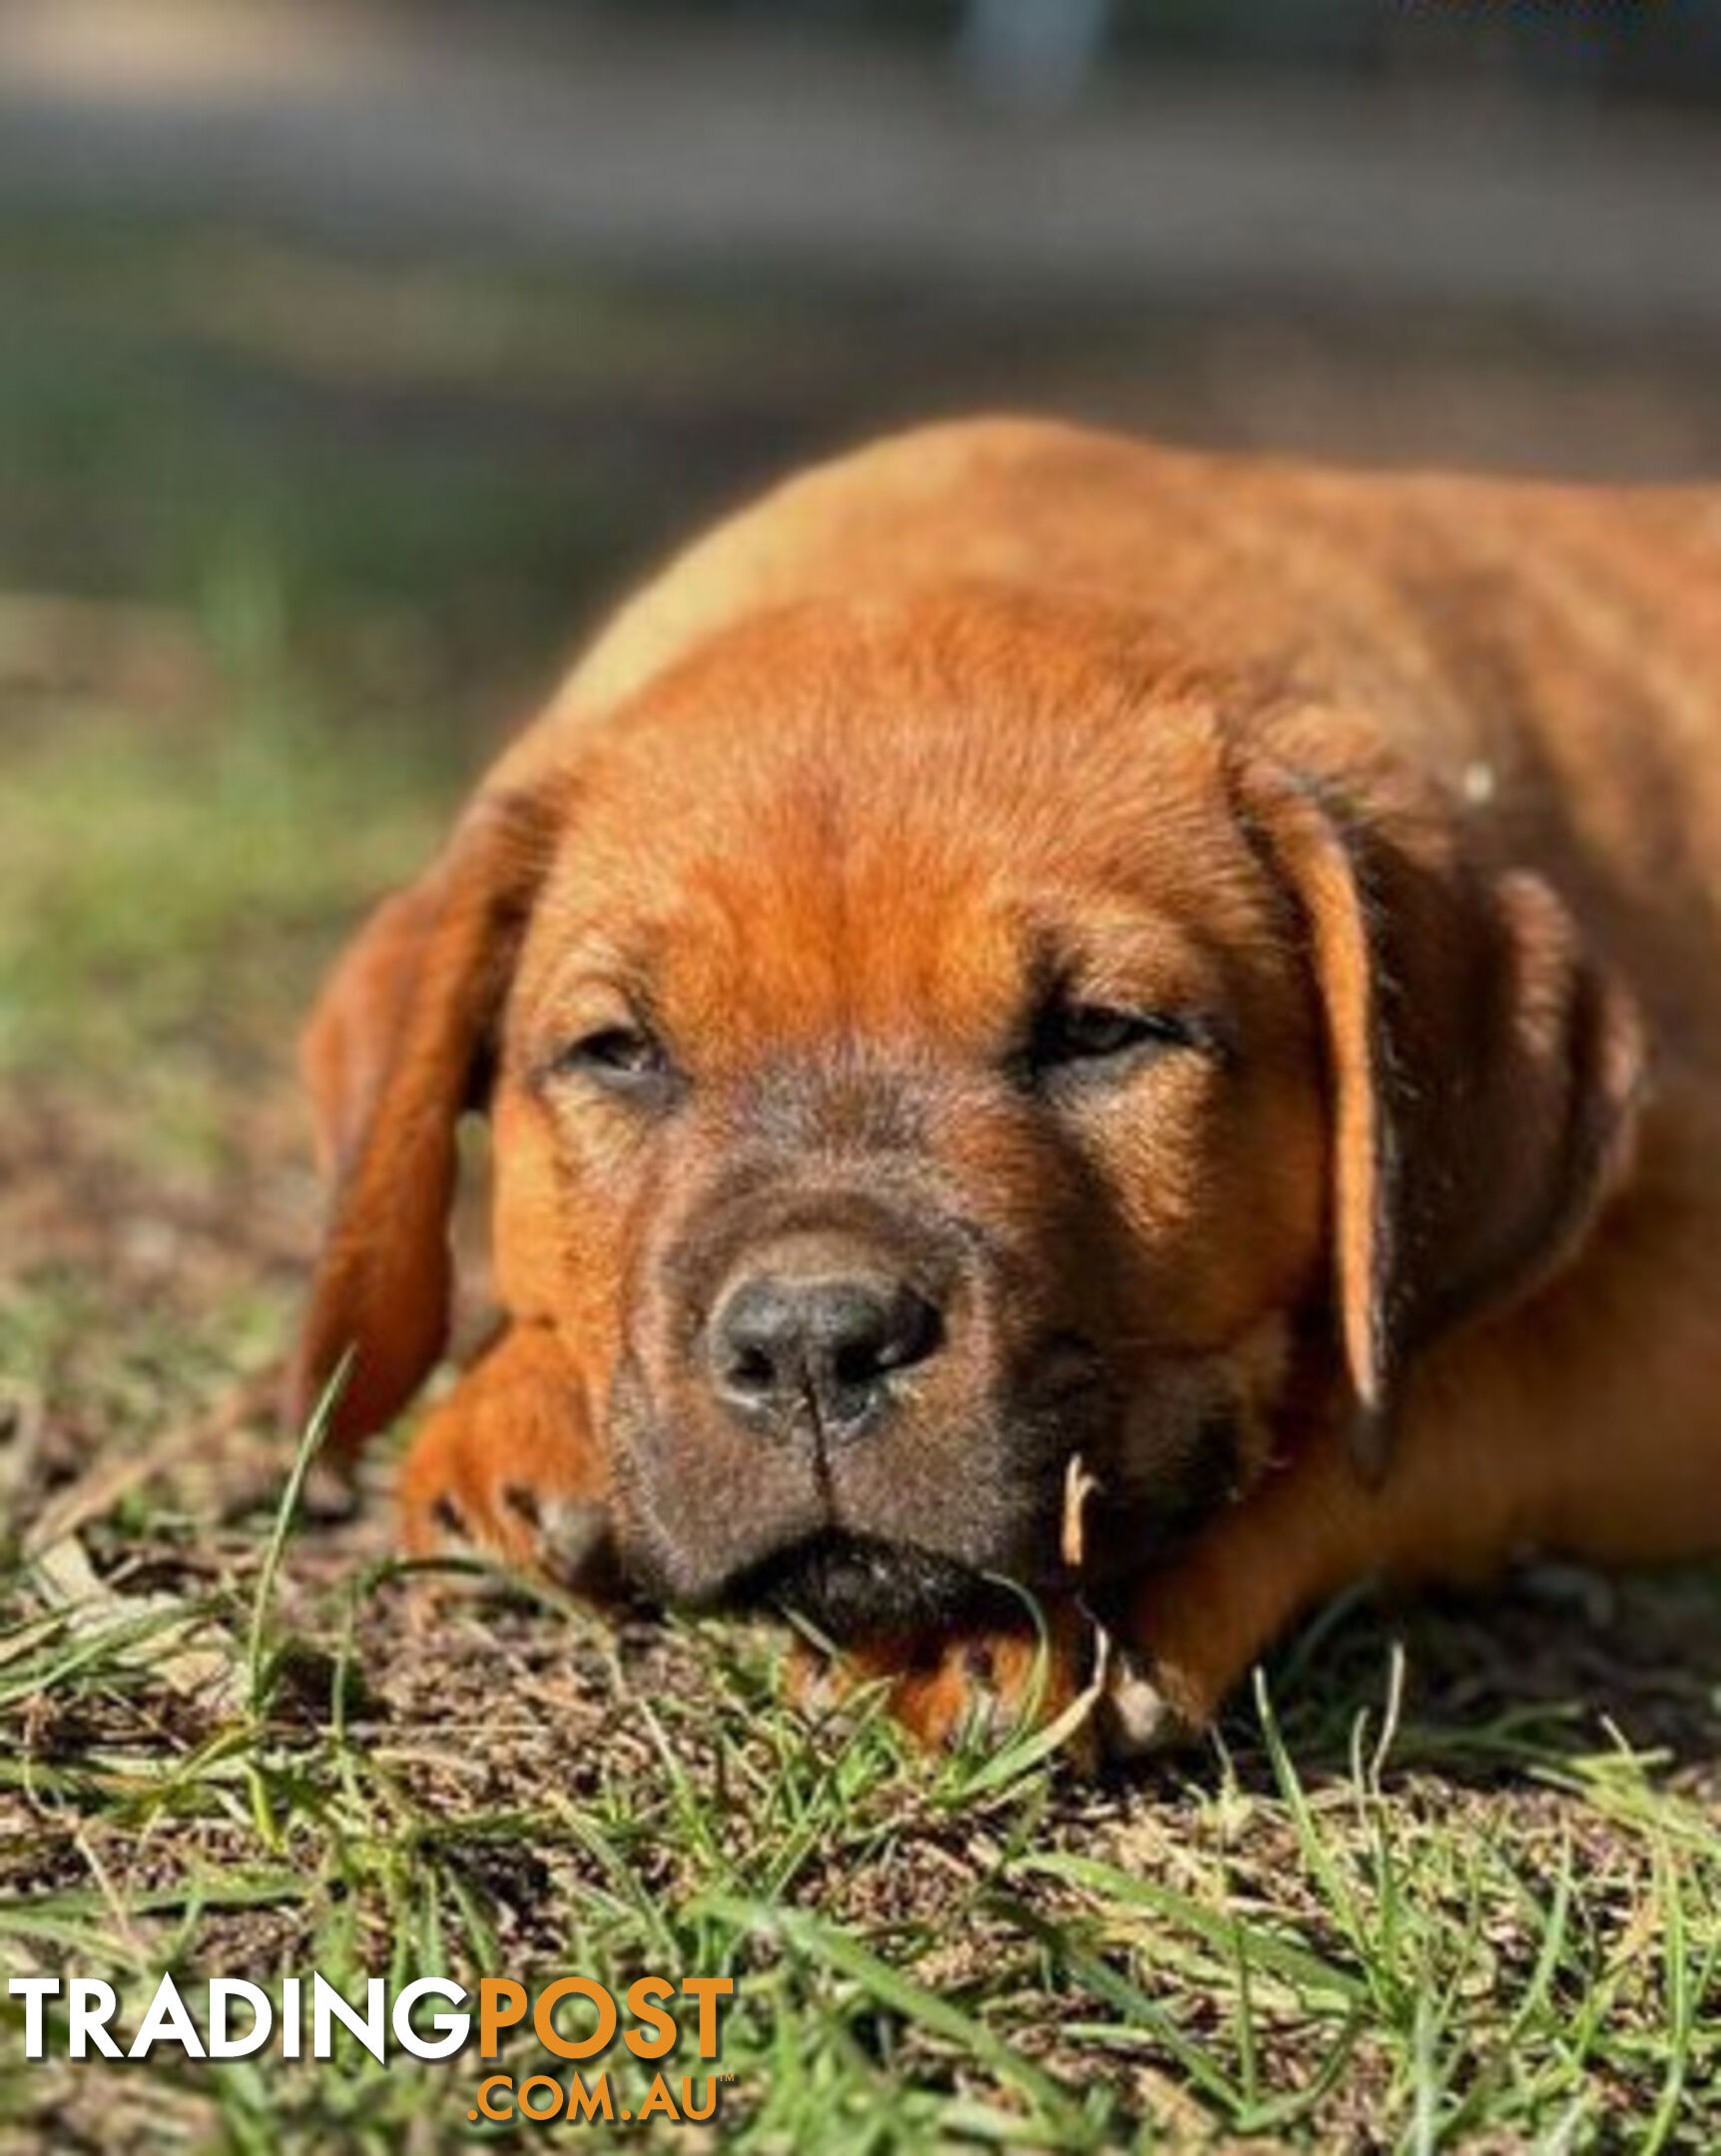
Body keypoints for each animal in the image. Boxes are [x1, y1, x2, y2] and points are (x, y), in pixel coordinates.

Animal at [288, 415, 1721, 1750]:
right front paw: (512, 1413)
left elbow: (1397, 1399)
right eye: (618, 1052)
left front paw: (1041, 1613)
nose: (813, 1346)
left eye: (1099, 1032)